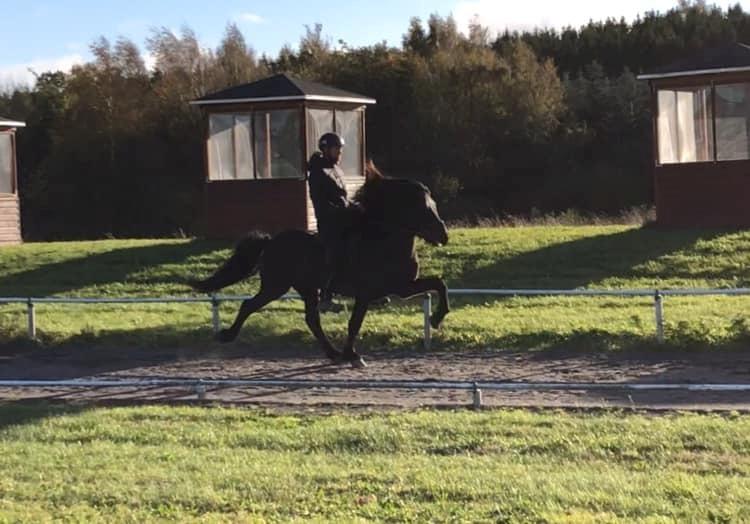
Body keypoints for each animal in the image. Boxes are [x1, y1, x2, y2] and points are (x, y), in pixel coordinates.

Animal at [191, 170, 450, 366]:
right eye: (419, 207)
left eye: (433, 204)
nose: (443, 235)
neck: (383, 241)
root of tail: (272, 241)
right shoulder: (366, 293)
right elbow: (354, 323)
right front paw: (352, 355)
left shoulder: (403, 287)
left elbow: (439, 284)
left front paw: (436, 319)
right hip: (276, 286)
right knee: (250, 305)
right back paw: (227, 335)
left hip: (306, 289)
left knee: (311, 320)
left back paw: (332, 353)